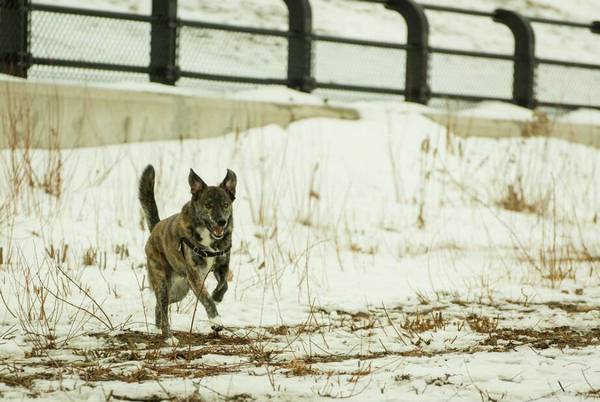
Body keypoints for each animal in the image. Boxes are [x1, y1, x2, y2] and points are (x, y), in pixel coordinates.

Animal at [139, 164, 236, 340]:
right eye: (208, 205)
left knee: (159, 306)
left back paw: (158, 329)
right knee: (162, 306)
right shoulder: (194, 275)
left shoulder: (222, 266)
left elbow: (223, 285)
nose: (222, 222)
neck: (209, 236)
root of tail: (156, 228)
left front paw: (217, 296)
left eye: (226, 204)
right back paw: (169, 337)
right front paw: (215, 320)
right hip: (163, 282)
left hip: (179, 290)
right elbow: (206, 299)